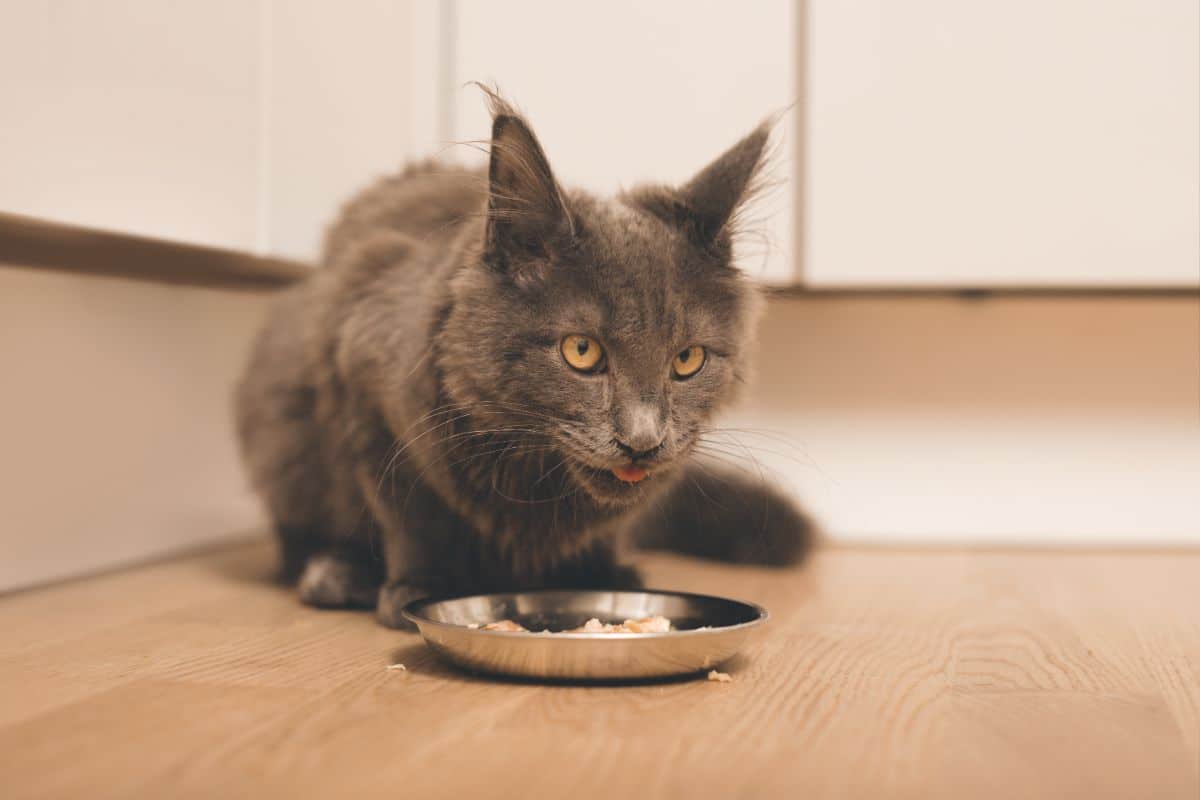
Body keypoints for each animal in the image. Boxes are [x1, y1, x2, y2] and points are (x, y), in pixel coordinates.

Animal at [231, 86, 816, 623]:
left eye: (688, 360)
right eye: (581, 351)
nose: (642, 441)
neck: (535, 481)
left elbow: (611, 525)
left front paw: (599, 575)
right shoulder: (367, 386)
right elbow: (412, 514)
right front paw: (421, 585)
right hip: (282, 423)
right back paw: (337, 574)